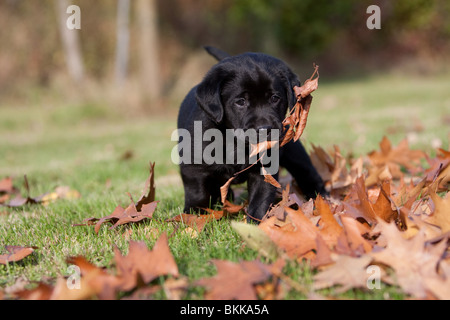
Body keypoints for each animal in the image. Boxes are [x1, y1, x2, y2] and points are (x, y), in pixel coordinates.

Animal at [176, 46, 326, 221]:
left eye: (275, 98)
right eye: (241, 101)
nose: (265, 129)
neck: (234, 142)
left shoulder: (265, 167)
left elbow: (260, 199)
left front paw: (255, 223)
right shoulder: (193, 166)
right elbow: (197, 193)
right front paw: (193, 215)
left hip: (295, 153)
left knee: (308, 174)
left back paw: (322, 199)